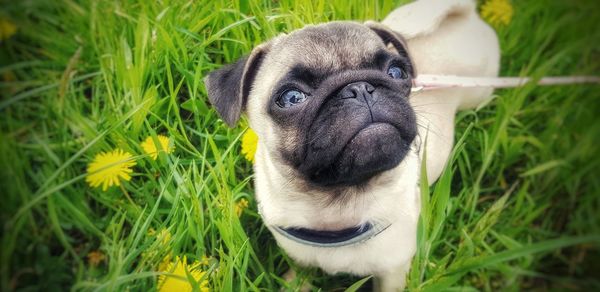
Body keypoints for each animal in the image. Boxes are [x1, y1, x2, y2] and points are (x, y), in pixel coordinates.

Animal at [204, 0, 500, 290]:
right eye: (291, 98)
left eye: (397, 72)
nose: (359, 88)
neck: (339, 208)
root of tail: (466, 15)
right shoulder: (299, 261)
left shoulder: (392, 272)